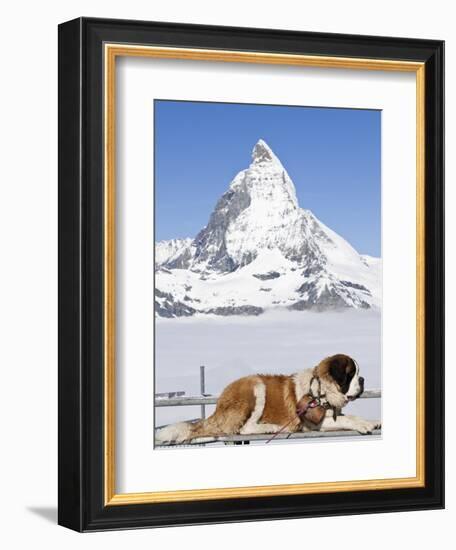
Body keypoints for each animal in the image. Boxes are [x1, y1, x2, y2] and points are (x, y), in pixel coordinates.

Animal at [156, 356, 382, 446]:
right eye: (351, 374)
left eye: (358, 374)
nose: (362, 379)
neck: (321, 390)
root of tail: (219, 403)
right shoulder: (310, 423)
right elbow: (348, 418)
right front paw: (365, 424)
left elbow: (347, 416)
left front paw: (373, 421)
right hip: (255, 386)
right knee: (243, 428)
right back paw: (270, 426)